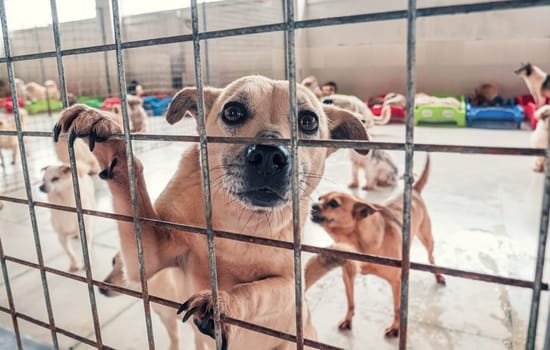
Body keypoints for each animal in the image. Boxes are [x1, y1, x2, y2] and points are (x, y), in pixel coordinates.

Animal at [52, 75, 370, 348]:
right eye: (232, 112)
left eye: (308, 121)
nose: (269, 156)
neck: (238, 224)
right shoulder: (151, 256)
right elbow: (130, 180)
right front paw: (107, 133)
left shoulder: (289, 284)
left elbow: (257, 290)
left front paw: (223, 304)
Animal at [308, 155, 446, 336]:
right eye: (319, 199)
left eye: (334, 204)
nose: (312, 206)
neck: (358, 242)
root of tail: (414, 190)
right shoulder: (347, 275)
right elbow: (351, 301)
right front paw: (348, 319)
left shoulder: (396, 282)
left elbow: (397, 308)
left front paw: (396, 327)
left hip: (427, 238)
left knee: (431, 258)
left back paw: (438, 275)